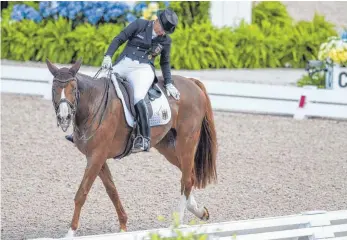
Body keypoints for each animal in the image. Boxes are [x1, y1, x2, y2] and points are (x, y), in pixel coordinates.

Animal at [44, 58, 216, 238]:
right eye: (54, 89)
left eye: (74, 88)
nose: (64, 117)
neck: (93, 104)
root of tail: (191, 82)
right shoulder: (98, 158)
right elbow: (112, 190)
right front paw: (123, 227)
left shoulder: (96, 156)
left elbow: (81, 193)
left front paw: (70, 233)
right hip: (167, 146)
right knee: (189, 175)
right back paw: (200, 212)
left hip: (187, 141)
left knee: (187, 179)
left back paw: (176, 224)